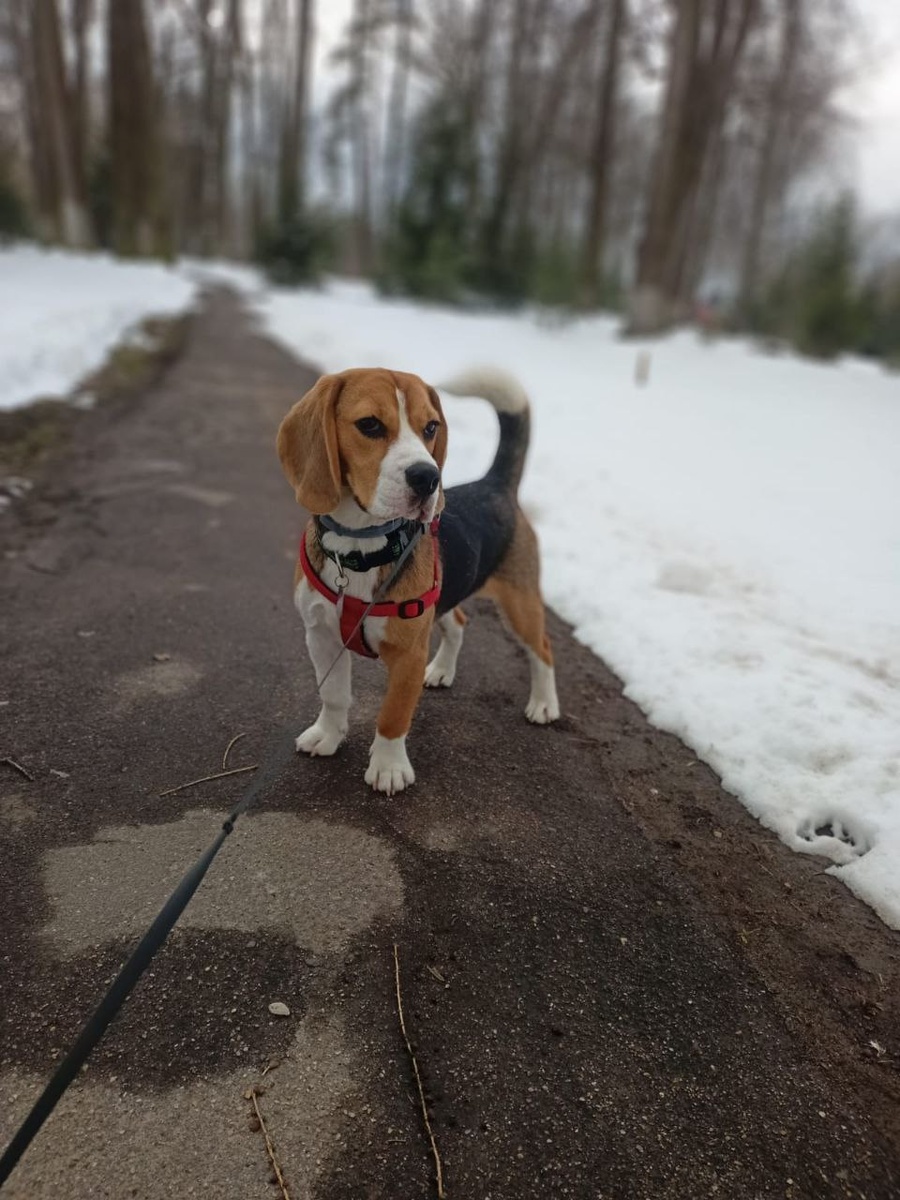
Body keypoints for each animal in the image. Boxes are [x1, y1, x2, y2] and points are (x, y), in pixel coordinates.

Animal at [276, 366, 559, 794]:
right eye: (370, 425)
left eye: (430, 427)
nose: (429, 478)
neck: (360, 547)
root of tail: (494, 484)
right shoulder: (321, 635)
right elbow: (334, 694)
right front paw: (328, 735)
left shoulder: (409, 654)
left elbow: (393, 714)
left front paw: (388, 767)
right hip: (441, 602)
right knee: (459, 622)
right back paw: (442, 670)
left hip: (519, 603)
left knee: (542, 648)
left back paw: (544, 703)